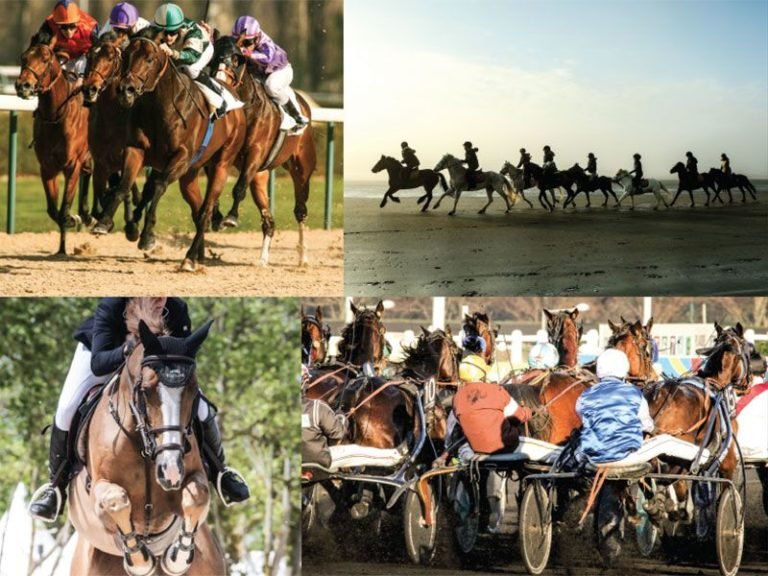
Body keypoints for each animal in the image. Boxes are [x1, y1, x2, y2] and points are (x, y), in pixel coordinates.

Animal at [15, 32, 91, 255]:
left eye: (45, 59)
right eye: (23, 57)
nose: (23, 86)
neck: (56, 116)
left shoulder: (72, 165)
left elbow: (64, 208)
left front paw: (72, 218)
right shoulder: (47, 167)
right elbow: (53, 210)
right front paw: (63, 245)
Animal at [82, 32, 146, 239]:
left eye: (110, 58)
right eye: (90, 56)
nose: (90, 88)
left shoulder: (128, 155)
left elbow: (122, 188)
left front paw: (131, 227)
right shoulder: (101, 160)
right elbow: (104, 191)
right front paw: (102, 220)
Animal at [92, 31, 246, 272]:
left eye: (149, 59)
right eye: (126, 56)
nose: (126, 89)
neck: (159, 106)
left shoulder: (180, 158)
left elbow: (157, 187)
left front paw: (147, 236)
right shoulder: (135, 150)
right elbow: (124, 185)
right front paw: (105, 222)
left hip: (221, 164)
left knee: (205, 212)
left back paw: (190, 258)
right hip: (190, 176)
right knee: (197, 211)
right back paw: (198, 255)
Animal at [209, 35, 316, 266]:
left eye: (236, 58)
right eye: (213, 57)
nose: (220, 84)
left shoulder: (254, 154)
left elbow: (238, 188)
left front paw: (230, 218)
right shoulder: (223, 155)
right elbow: (215, 185)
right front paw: (215, 217)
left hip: (301, 170)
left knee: (301, 211)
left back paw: (303, 256)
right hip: (260, 175)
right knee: (268, 220)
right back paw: (263, 258)